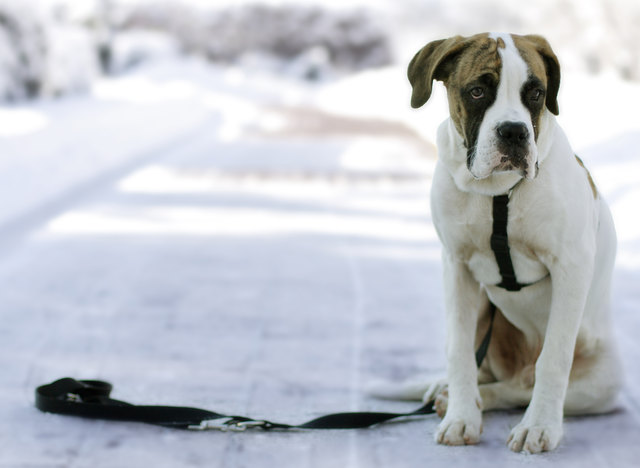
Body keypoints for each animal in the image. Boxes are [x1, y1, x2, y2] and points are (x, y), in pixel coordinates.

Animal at [388, 33, 624, 454]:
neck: (498, 194)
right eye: (478, 91)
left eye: (536, 94)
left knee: (521, 386)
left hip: (603, 380)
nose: (514, 131)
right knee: (492, 373)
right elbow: (459, 351)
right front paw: (461, 417)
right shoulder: (456, 266)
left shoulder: (571, 267)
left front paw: (540, 426)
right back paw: (446, 392)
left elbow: (554, 359)